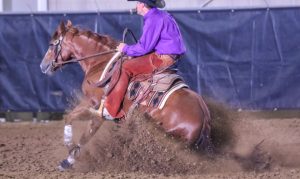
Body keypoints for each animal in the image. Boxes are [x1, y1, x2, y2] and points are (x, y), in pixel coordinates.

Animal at [40, 20, 213, 171]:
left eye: (51, 44)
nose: (43, 65)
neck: (100, 62)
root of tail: (204, 118)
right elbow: (75, 123)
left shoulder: (96, 108)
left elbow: (80, 131)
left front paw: (68, 159)